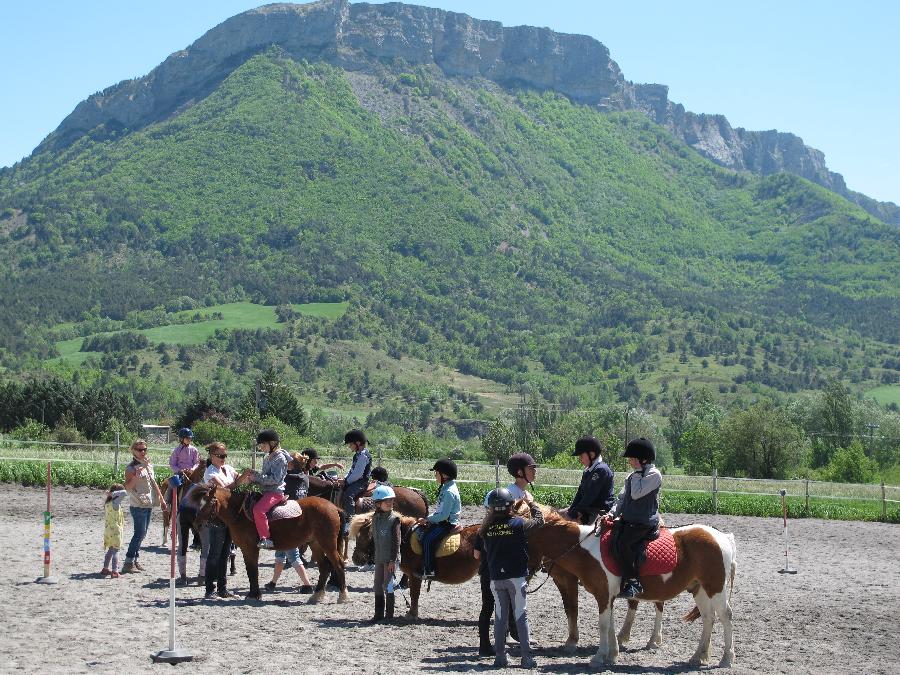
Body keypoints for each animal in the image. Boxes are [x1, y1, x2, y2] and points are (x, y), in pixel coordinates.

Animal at [193, 484, 348, 604]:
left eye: (209, 503)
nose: (197, 524)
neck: (240, 514)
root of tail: (334, 507)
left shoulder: (251, 548)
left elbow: (253, 571)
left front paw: (254, 595)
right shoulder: (245, 549)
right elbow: (250, 570)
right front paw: (253, 594)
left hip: (328, 544)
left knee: (338, 565)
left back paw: (342, 596)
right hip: (316, 544)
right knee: (325, 567)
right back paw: (317, 595)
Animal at [348, 516, 482, 620]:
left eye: (364, 536)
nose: (355, 559)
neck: (405, 538)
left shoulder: (414, 576)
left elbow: (414, 594)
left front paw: (412, 614)